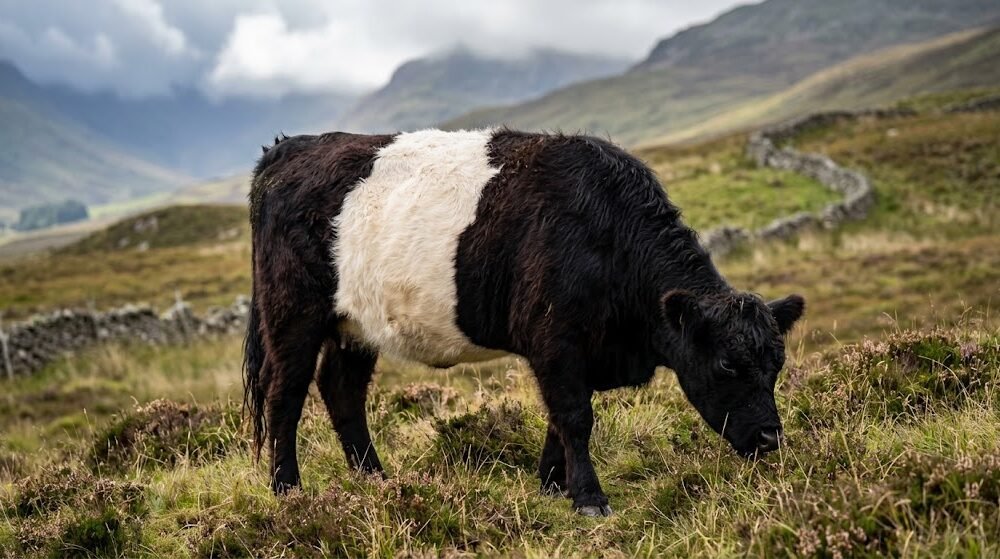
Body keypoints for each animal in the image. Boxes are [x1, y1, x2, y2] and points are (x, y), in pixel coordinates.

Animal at [243, 128, 804, 517]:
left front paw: (552, 485)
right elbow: (575, 416)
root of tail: (289, 148)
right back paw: (288, 490)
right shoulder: (555, 340)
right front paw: (589, 498)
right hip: (293, 313)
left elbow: (560, 419)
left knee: (341, 390)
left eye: (776, 365)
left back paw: (376, 482)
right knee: (285, 393)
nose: (770, 439)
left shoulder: (576, 351)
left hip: (356, 325)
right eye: (728, 365)